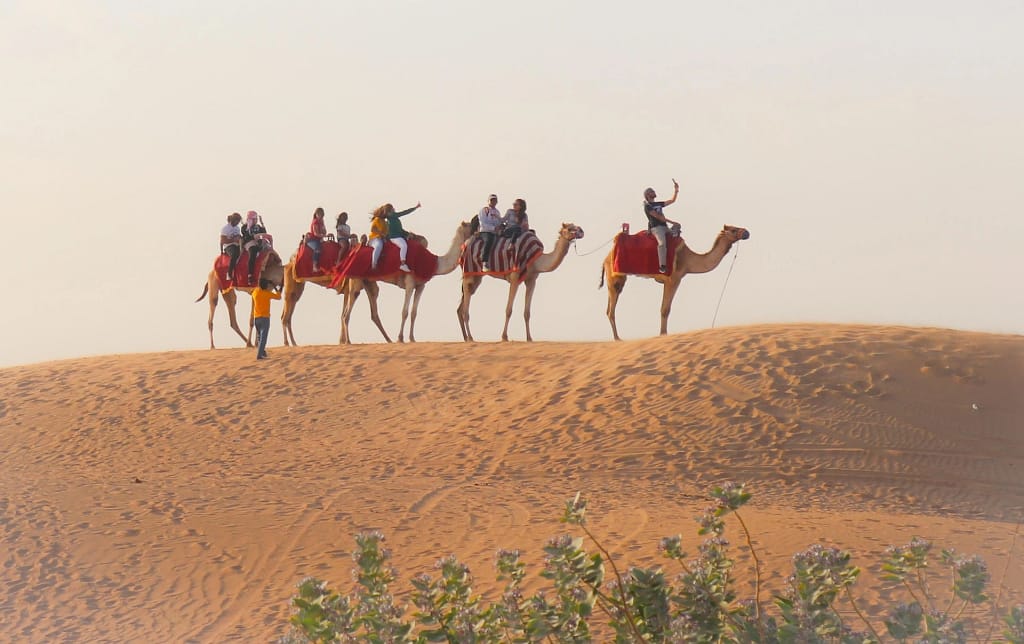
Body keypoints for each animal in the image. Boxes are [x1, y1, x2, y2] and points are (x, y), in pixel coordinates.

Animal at [599, 224, 750, 340]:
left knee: (608, 308)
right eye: (734, 230)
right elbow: (665, 309)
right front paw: (663, 334)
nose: (747, 232)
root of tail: (605, 259)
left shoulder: (671, 280)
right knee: (611, 310)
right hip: (615, 276)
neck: (689, 260)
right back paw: (617, 338)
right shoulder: (674, 279)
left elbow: (664, 308)